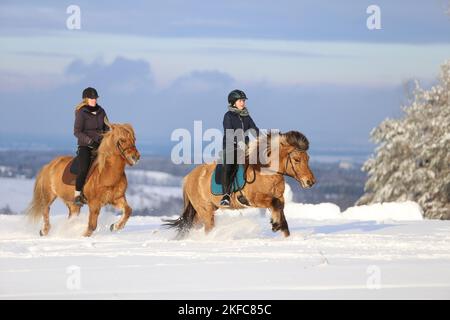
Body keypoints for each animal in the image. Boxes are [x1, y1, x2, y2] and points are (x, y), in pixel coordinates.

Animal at [163, 130, 314, 238]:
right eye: (296, 159)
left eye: (307, 158)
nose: (310, 182)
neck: (265, 171)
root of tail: (188, 177)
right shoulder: (255, 199)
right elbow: (275, 204)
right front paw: (276, 224)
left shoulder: (279, 197)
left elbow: (280, 210)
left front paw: (282, 231)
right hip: (205, 210)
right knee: (206, 227)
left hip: (202, 211)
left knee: (189, 225)